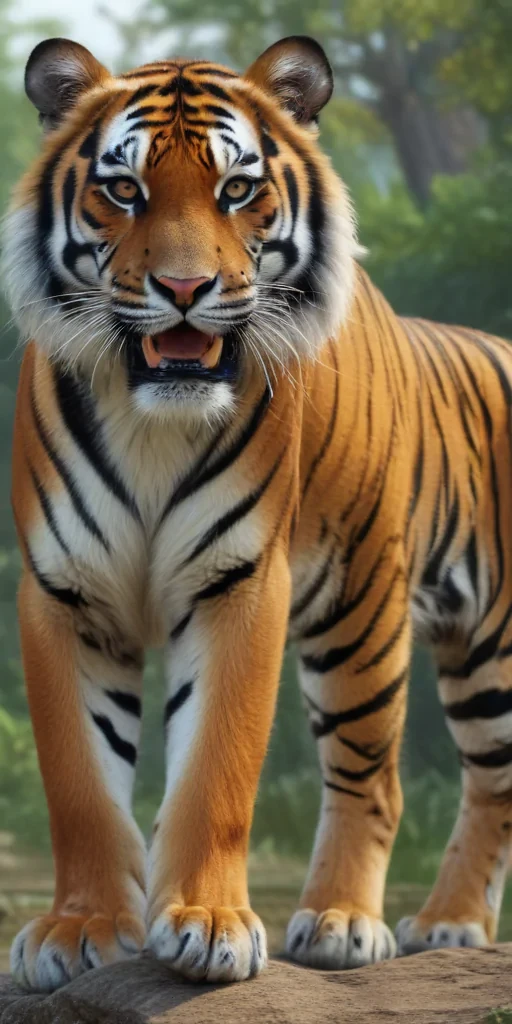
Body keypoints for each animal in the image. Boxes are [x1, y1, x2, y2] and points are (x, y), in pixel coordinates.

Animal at [3, 31, 512, 992]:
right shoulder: (64, 593)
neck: (152, 417)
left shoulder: (240, 578)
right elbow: (79, 782)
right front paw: (80, 929)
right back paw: (451, 924)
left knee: (379, 777)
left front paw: (208, 925)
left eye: (237, 190)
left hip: (387, 620)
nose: (184, 287)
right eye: (123, 190)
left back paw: (354, 922)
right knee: (490, 783)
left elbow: (216, 767)